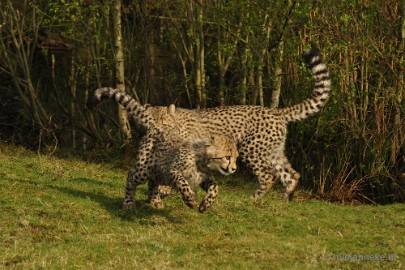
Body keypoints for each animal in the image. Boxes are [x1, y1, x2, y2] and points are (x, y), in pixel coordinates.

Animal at [85, 87, 237, 212]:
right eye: (227, 157)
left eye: (236, 157)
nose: (234, 168)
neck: (203, 161)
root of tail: (155, 127)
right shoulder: (171, 170)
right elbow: (182, 182)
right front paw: (189, 198)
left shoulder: (204, 179)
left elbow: (215, 188)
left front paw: (205, 204)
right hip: (144, 169)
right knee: (131, 176)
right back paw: (129, 203)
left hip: (156, 172)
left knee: (153, 182)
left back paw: (155, 200)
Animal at [137, 48, 330, 200]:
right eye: (147, 122)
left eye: (163, 122)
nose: (155, 132)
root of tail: (275, 111)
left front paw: (165, 190)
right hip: (273, 151)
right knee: (292, 174)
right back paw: (285, 198)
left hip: (251, 149)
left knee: (270, 175)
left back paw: (254, 198)